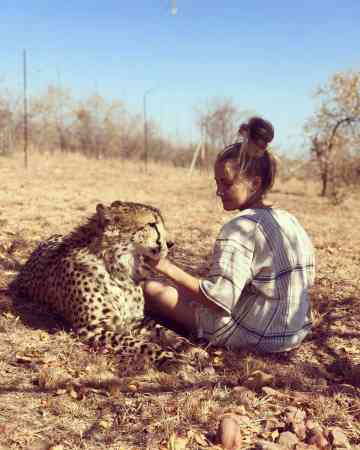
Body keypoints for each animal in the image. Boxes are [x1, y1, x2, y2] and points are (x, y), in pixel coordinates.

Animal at [9, 202, 187, 368]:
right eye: (151, 224)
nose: (171, 243)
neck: (117, 269)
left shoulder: (135, 320)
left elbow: (163, 330)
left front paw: (187, 347)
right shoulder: (90, 329)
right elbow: (139, 343)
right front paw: (169, 358)